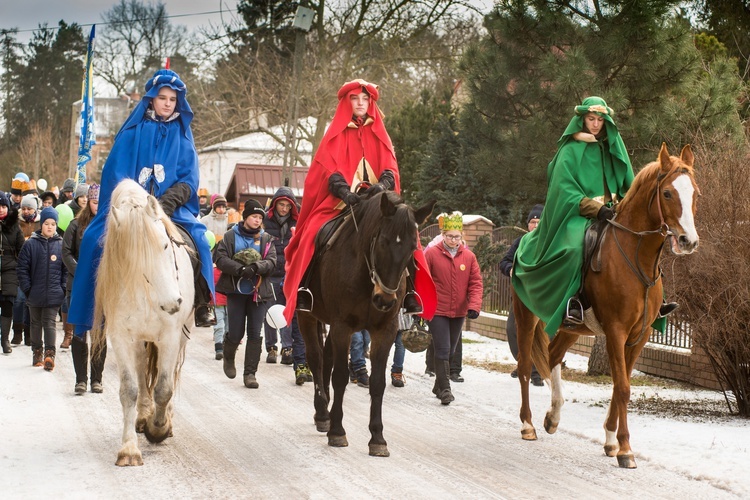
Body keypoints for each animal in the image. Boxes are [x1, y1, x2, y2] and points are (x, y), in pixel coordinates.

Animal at [91, 179, 195, 464]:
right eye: (135, 258)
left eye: (166, 245)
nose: (173, 302)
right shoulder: (121, 338)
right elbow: (129, 389)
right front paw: (128, 448)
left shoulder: (170, 336)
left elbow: (164, 388)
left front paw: (158, 428)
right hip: (139, 341)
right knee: (141, 371)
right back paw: (143, 415)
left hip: (180, 337)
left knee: (169, 376)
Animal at [296, 191, 434, 458]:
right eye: (383, 241)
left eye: (413, 247)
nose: (385, 300)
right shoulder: (342, 326)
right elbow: (340, 376)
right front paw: (337, 431)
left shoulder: (385, 331)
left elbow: (378, 382)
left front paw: (378, 438)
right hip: (306, 316)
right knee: (316, 359)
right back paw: (323, 414)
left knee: (326, 358)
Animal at [516, 144, 704, 468]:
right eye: (667, 193)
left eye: (694, 193)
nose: (687, 241)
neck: (636, 257)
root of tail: (526, 238)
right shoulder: (616, 331)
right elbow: (624, 388)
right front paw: (626, 449)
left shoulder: (639, 336)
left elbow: (619, 386)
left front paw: (610, 441)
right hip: (526, 318)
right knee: (526, 366)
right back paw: (528, 425)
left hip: (573, 328)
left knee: (552, 357)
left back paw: (553, 416)